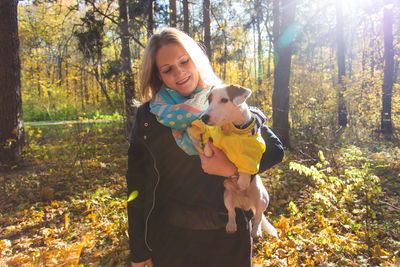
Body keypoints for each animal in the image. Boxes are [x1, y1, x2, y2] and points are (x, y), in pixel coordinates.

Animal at [189, 85, 276, 240]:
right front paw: (209, 152)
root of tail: (246, 204)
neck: (231, 128)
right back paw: (231, 226)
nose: (204, 118)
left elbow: (246, 169)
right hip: (227, 197)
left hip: (262, 197)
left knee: (259, 216)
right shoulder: (211, 137)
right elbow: (208, 146)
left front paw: (242, 181)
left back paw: (256, 231)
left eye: (224, 100)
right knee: (232, 212)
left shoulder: (254, 149)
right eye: (209, 99)